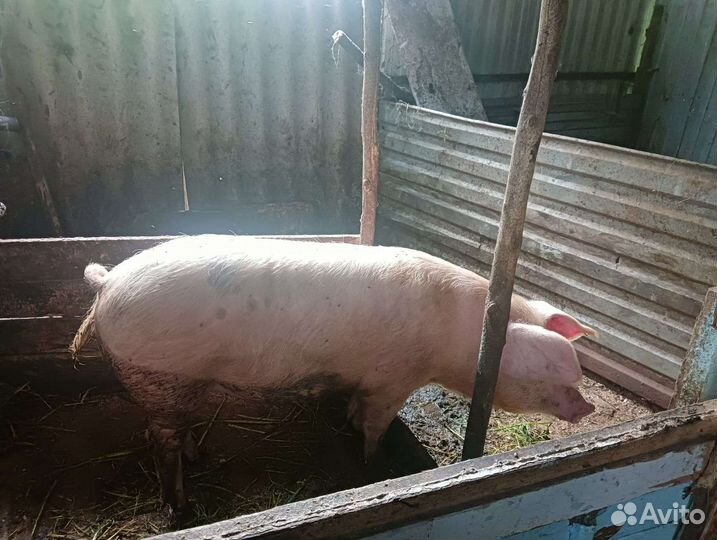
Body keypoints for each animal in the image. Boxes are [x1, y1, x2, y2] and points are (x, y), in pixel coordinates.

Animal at [70, 235, 596, 514]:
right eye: (554, 372)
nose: (588, 406)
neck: (457, 343)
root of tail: (109, 281)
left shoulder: (366, 376)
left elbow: (354, 410)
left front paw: (347, 427)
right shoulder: (393, 378)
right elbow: (375, 424)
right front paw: (372, 465)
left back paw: (197, 460)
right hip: (157, 374)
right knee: (159, 442)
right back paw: (180, 506)